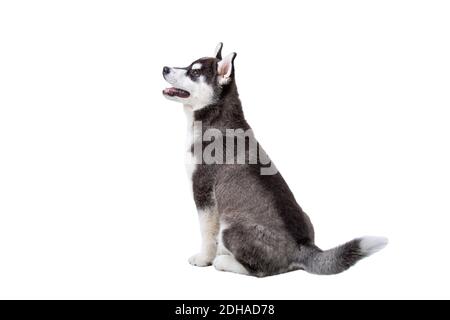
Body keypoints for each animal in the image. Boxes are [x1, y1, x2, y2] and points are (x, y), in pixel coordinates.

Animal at [162, 43, 386, 278]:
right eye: (188, 65)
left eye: (195, 72)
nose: (164, 68)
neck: (215, 119)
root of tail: (302, 246)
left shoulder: (204, 191)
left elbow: (207, 233)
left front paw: (204, 258)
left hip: (230, 229)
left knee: (259, 270)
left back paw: (224, 261)